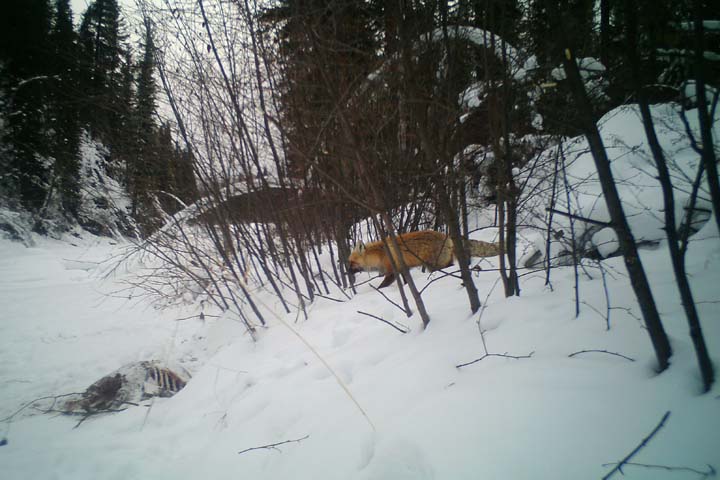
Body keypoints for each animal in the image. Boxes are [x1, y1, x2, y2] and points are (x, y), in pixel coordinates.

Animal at [348, 230, 500, 286]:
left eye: (352, 263)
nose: (347, 272)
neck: (379, 255)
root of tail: (446, 236)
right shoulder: (403, 269)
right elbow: (406, 282)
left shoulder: (392, 271)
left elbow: (382, 286)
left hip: (434, 265)